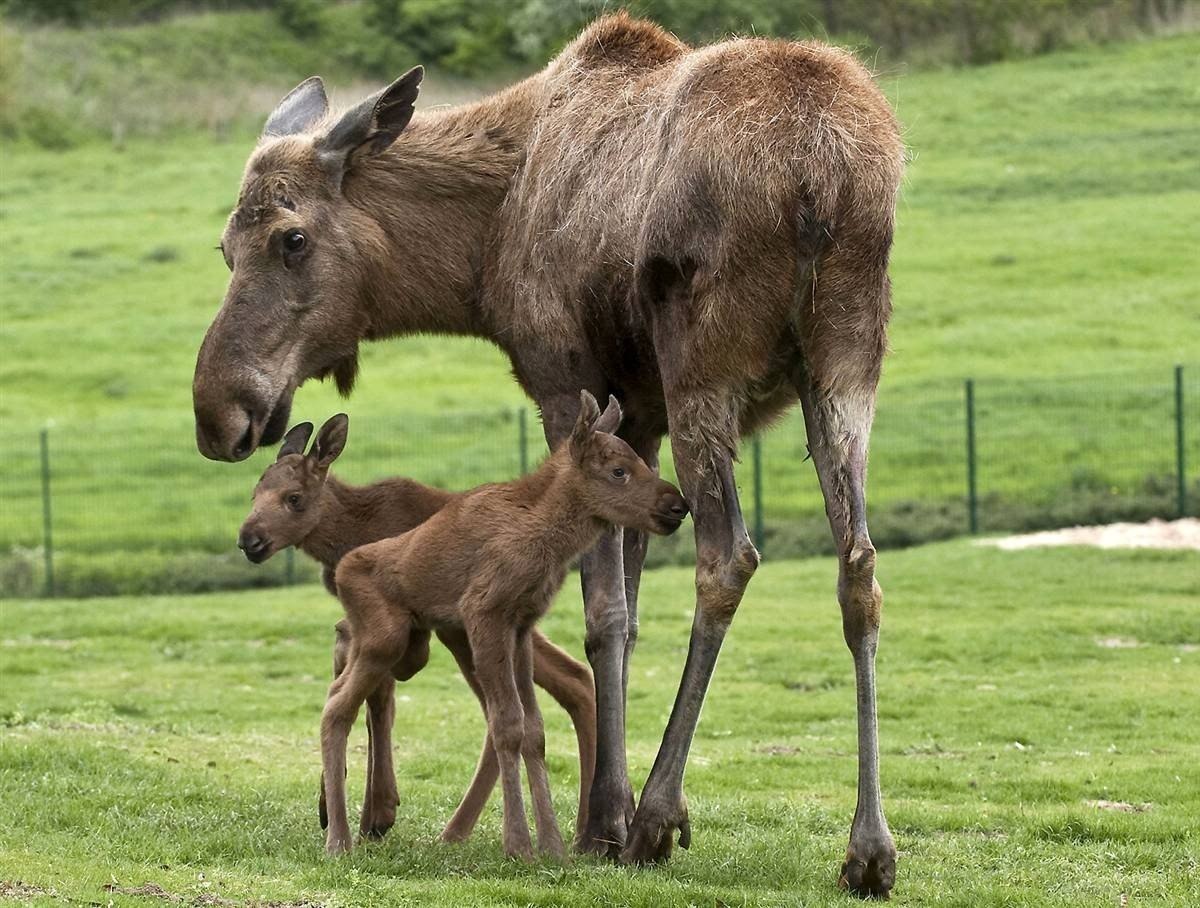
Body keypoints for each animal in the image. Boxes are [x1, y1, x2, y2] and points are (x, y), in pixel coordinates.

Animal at [238, 410, 600, 844]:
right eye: (255, 493)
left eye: (293, 498)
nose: (249, 539)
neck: (343, 534)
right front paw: (355, 807)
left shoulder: (403, 625)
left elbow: (376, 697)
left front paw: (374, 810)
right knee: (570, 680)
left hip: (465, 627)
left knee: (555, 686)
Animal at [324, 391, 691, 858]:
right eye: (619, 471)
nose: (677, 505)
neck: (548, 541)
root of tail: (340, 570)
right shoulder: (485, 612)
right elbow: (508, 725)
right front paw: (518, 844)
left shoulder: (521, 624)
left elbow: (534, 728)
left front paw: (552, 845)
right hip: (387, 638)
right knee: (336, 707)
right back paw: (338, 839)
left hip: (402, 644)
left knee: (338, 682)